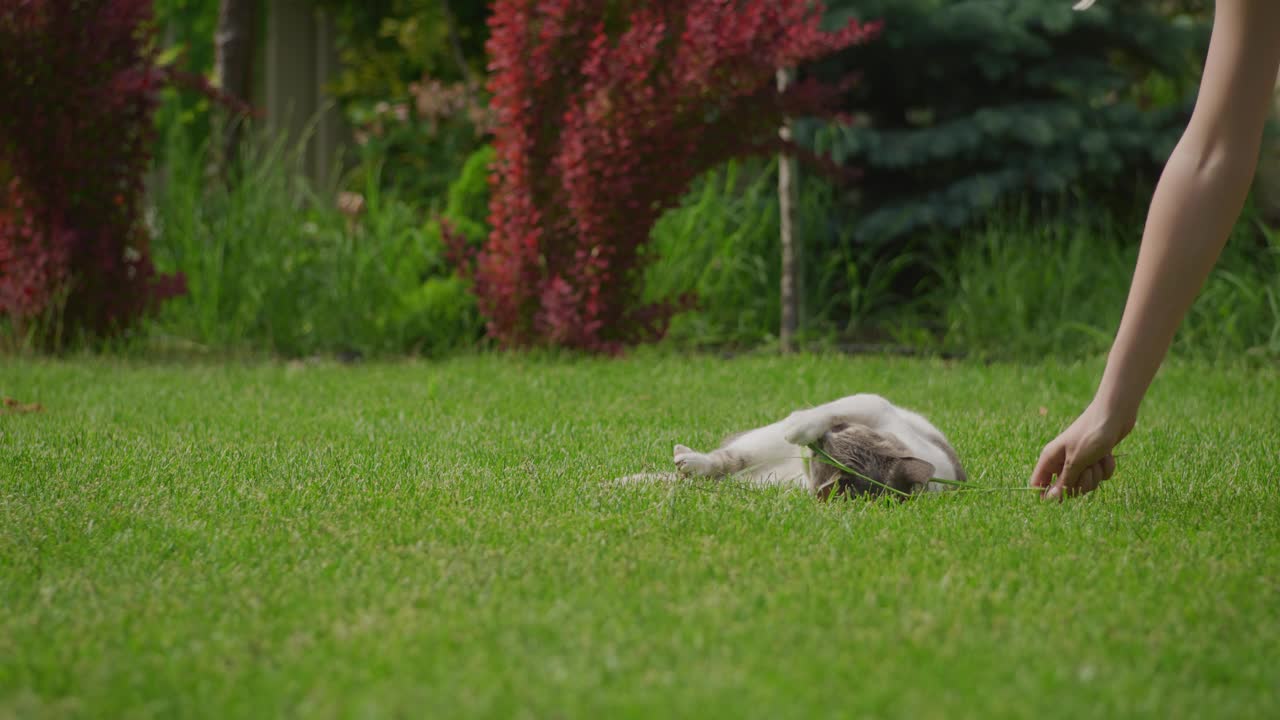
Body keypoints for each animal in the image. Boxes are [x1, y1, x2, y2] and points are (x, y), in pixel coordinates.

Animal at [650, 392, 962, 499]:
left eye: (820, 456)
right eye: (843, 429)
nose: (811, 445)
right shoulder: (875, 407)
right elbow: (832, 410)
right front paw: (798, 422)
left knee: (713, 473)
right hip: (762, 442)